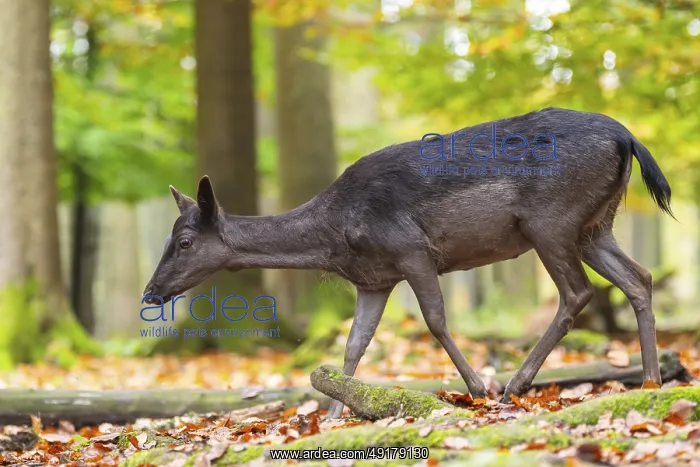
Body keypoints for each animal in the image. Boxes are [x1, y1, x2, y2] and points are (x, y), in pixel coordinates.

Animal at [143, 107, 673, 419]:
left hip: (552, 221)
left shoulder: (411, 248)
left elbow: (435, 319)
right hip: (595, 226)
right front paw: (335, 416)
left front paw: (475, 387)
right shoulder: (374, 280)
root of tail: (628, 137)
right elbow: (354, 345)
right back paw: (651, 378)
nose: (151, 292)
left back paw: (514, 384)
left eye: (184, 241)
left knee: (577, 292)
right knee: (640, 277)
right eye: (170, 236)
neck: (336, 236)